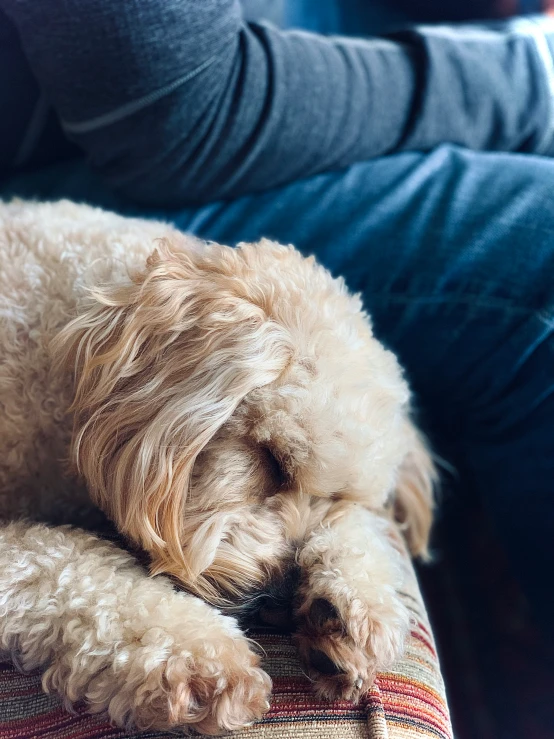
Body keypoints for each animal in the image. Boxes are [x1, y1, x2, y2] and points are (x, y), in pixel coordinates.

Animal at [0, 199, 434, 736]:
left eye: (337, 497)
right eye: (273, 460)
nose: (279, 601)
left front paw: (350, 606)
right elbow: (55, 562)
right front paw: (197, 654)